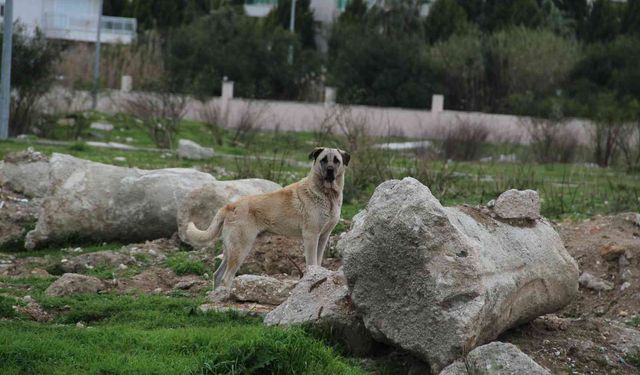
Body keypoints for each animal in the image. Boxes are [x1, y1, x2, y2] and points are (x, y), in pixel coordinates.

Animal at [188, 147, 350, 290]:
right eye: (323, 160)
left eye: (336, 160)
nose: (330, 170)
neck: (326, 194)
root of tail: (230, 206)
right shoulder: (311, 236)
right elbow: (312, 262)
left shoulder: (323, 237)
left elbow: (318, 261)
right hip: (241, 248)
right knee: (226, 278)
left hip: (231, 249)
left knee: (217, 275)